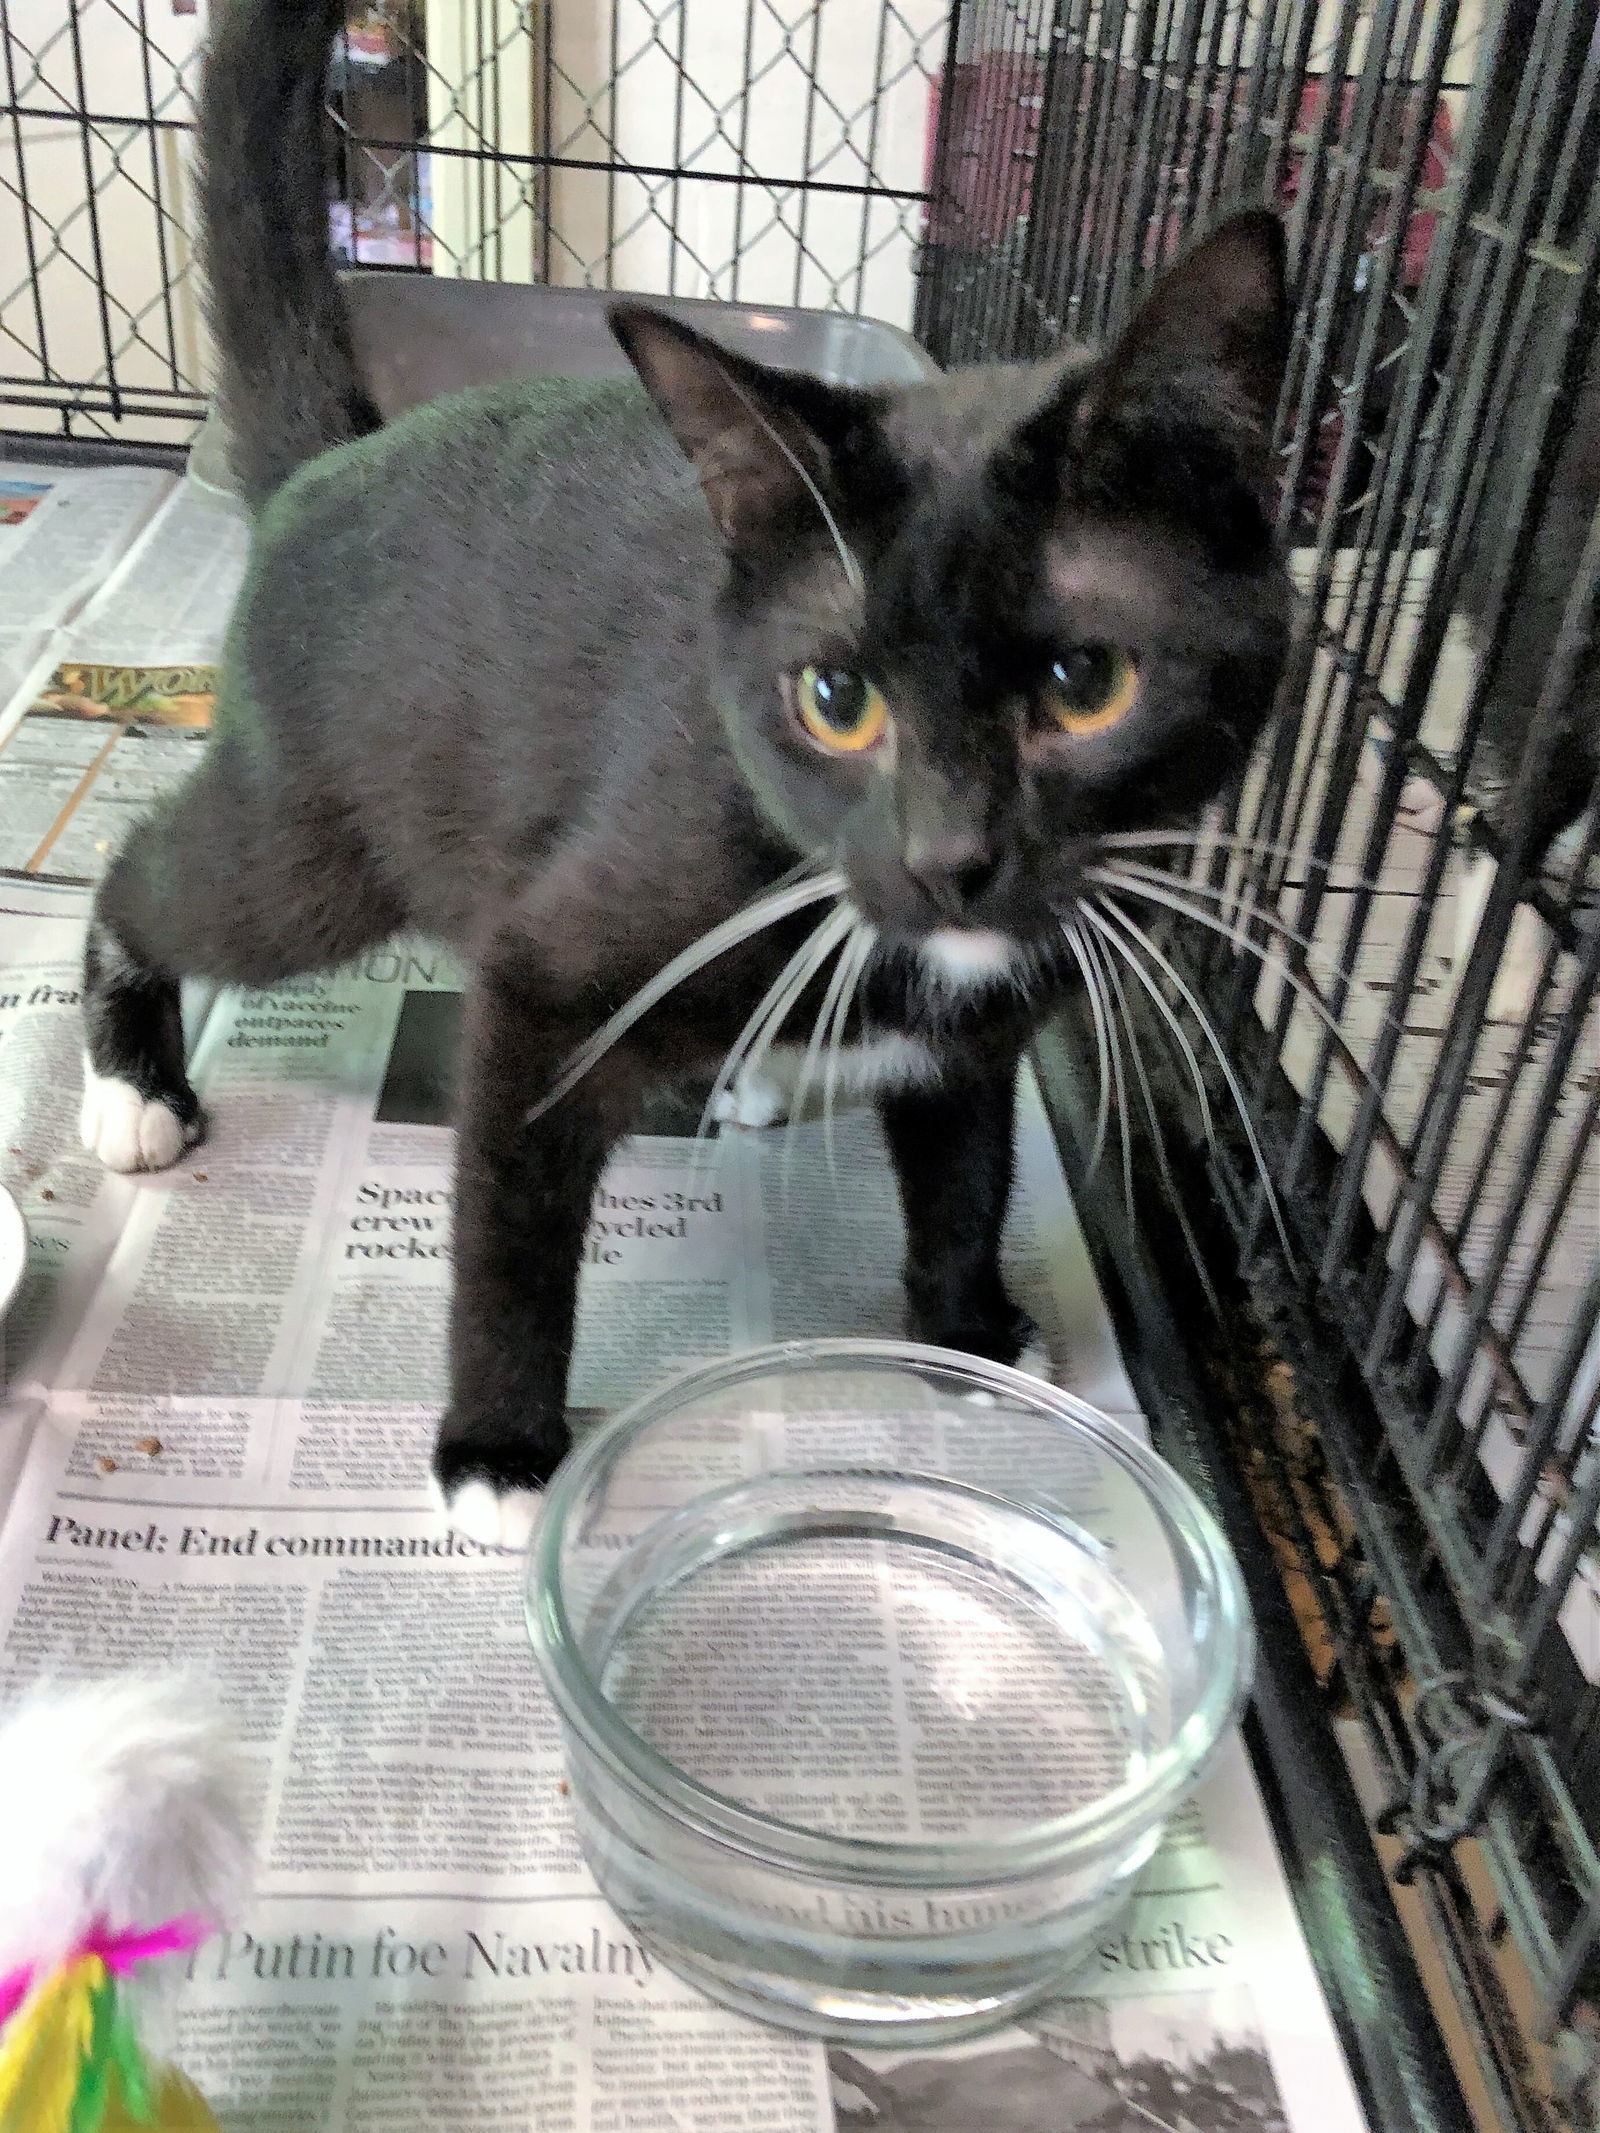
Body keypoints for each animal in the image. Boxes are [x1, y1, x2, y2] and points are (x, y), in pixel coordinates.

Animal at [81, 0, 1297, 1544]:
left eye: (1088, 684)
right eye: (835, 698)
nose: (951, 857)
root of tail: (332, 460)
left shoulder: (986, 1022)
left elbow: (969, 1162)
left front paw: (967, 1327)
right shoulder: (550, 974)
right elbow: (509, 1220)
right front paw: (498, 1448)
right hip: (315, 837)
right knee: (164, 875)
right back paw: (129, 1082)